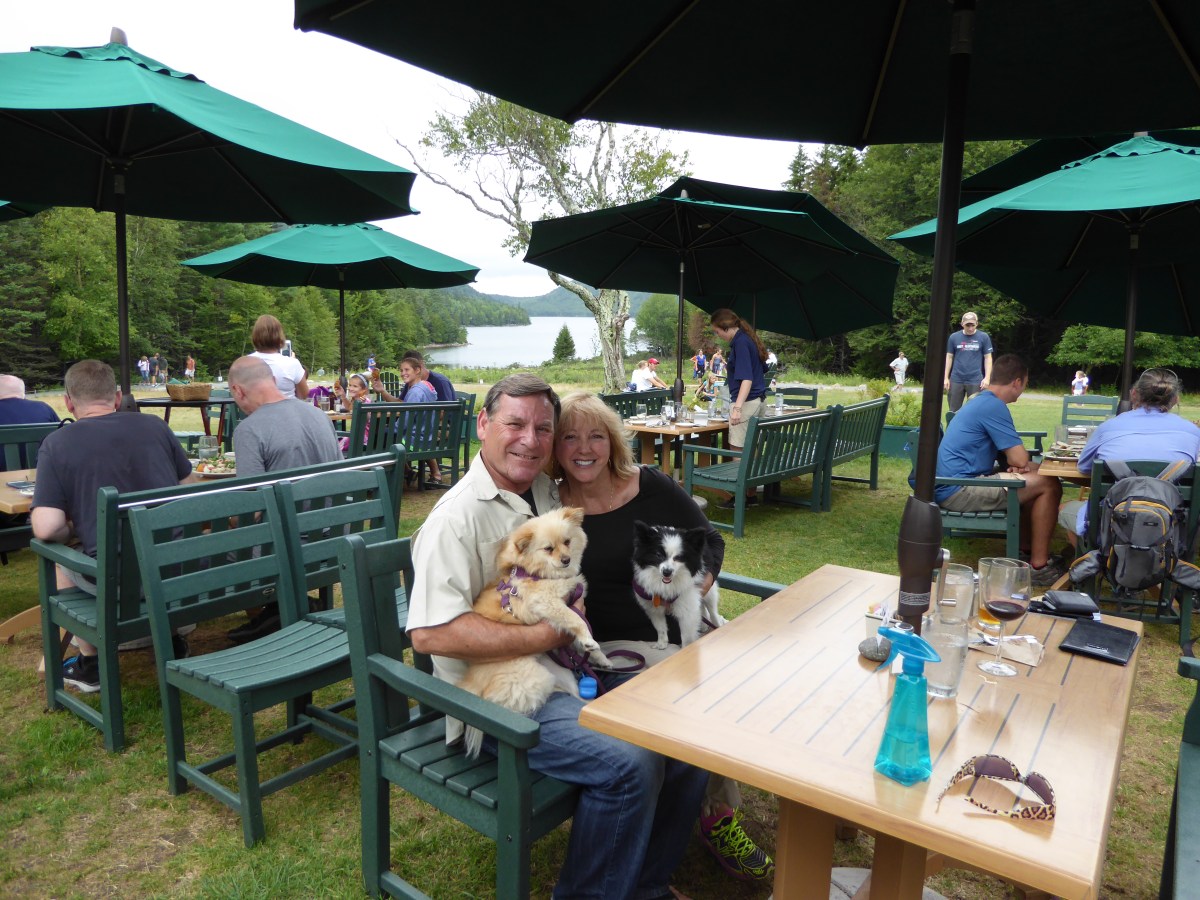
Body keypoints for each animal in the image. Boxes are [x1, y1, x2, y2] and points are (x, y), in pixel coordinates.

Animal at [458, 507, 611, 757]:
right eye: (548, 549)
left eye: (567, 542)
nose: (566, 559)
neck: (541, 573)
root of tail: (474, 686)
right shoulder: (547, 603)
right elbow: (576, 621)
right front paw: (589, 641)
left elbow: (581, 630)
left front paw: (600, 657)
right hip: (536, 677)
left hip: (561, 673)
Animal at [631, 520, 724, 649]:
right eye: (658, 555)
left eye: (679, 558)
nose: (667, 572)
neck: (666, 584)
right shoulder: (653, 608)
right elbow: (660, 628)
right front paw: (662, 644)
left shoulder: (687, 607)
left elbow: (687, 637)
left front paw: (686, 650)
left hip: (709, 592)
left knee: (712, 611)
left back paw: (718, 625)